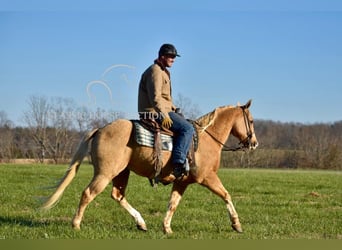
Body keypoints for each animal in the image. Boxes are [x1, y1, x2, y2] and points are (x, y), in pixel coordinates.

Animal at [41, 99, 258, 234]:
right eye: (251, 121)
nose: (254, 143)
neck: (206, 139)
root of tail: (100, 129)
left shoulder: (182, 182)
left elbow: (172, 204)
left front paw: (167, 228)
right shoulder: (207, 177)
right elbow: (226, 195)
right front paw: (237, 224)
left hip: (122, 173)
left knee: (117, 196)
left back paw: (141, 223)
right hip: (104, 173)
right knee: (88, 193)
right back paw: (76, 224)